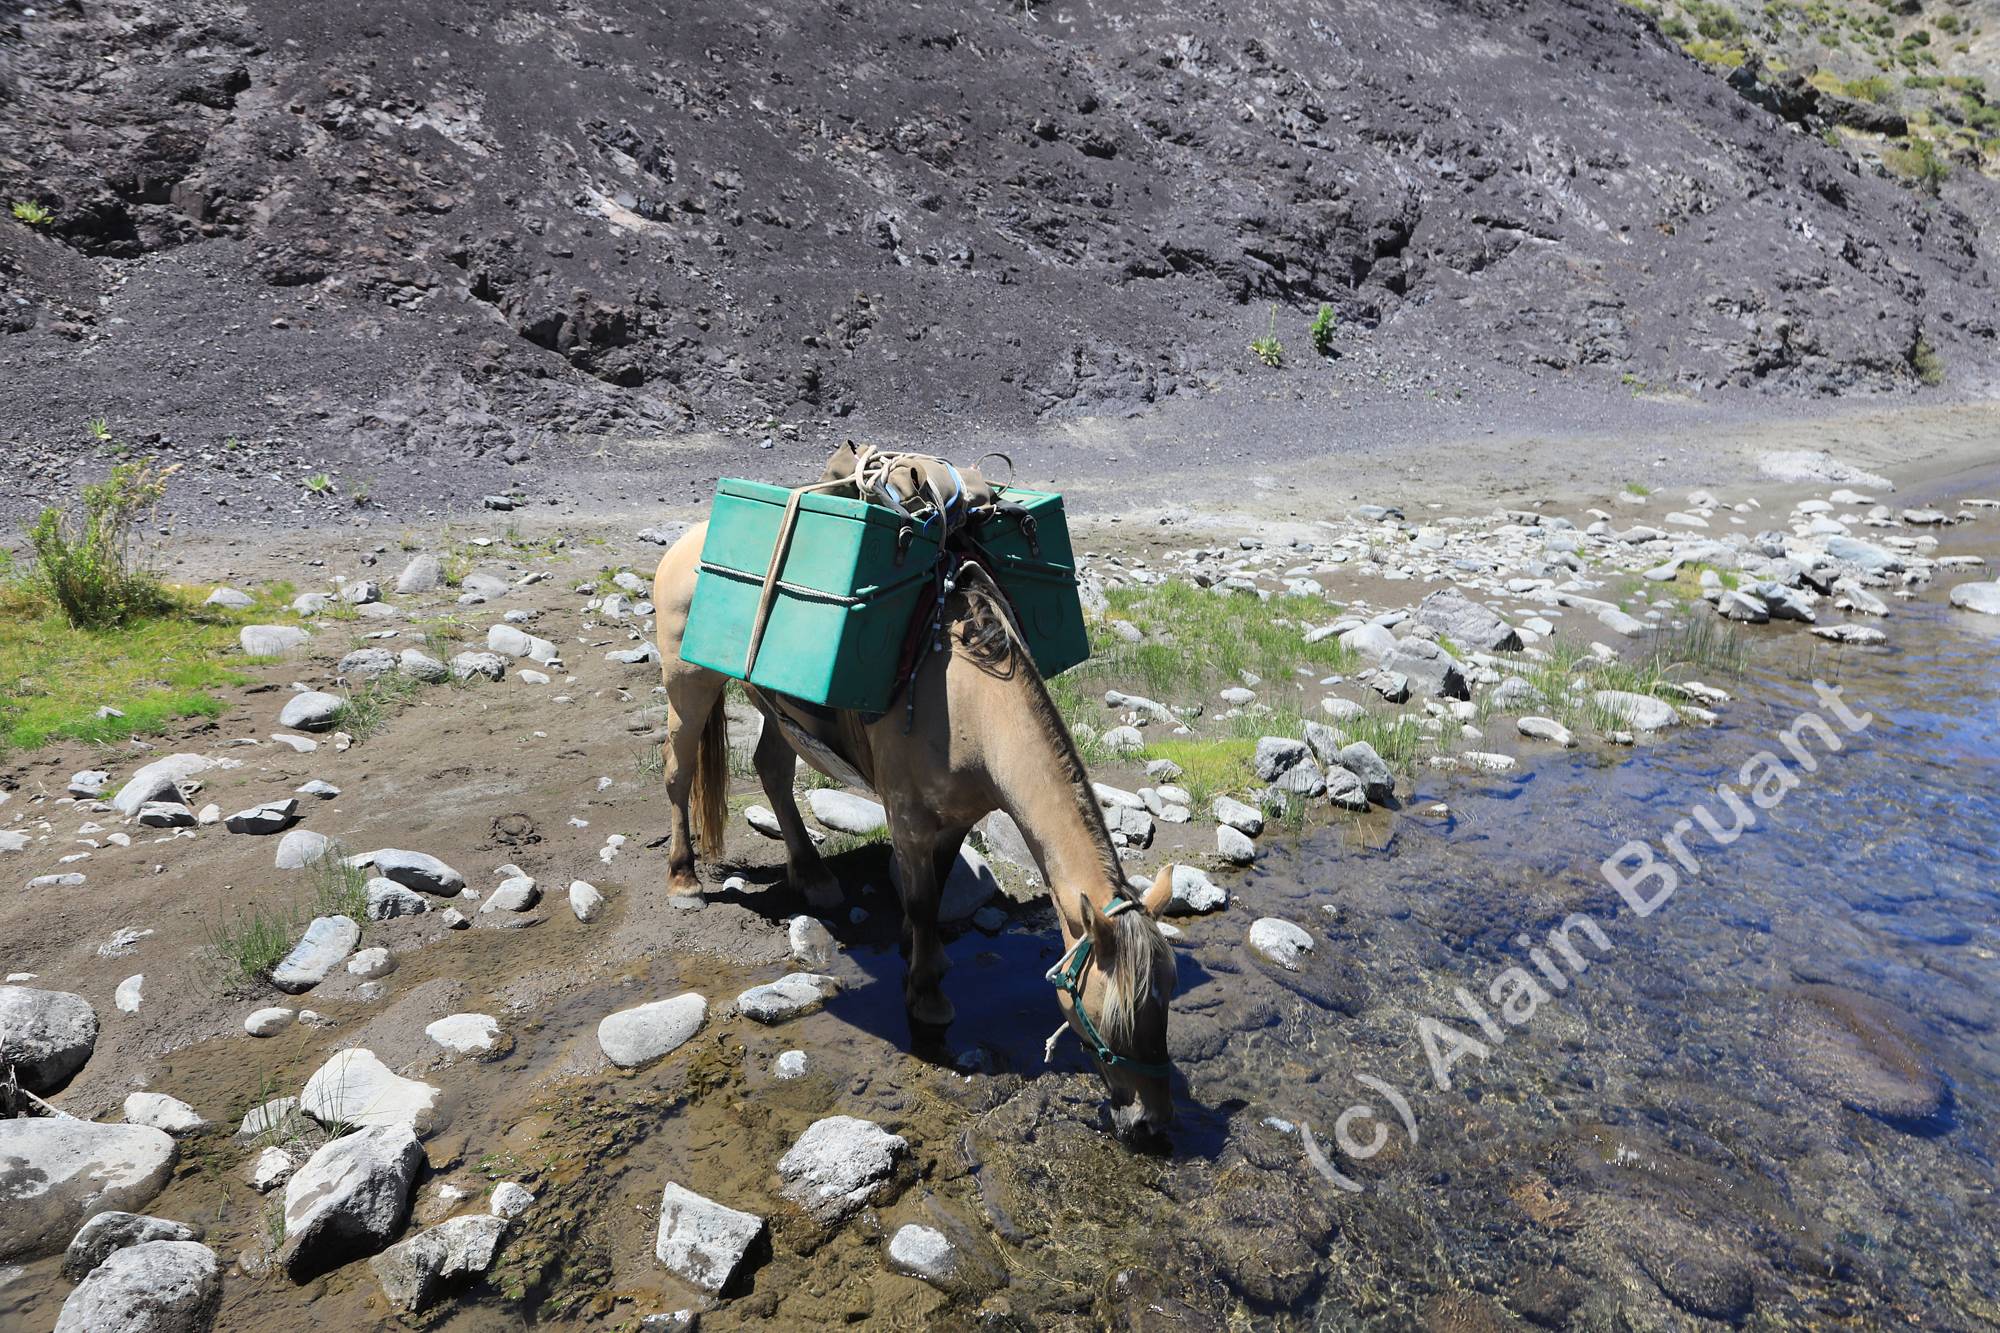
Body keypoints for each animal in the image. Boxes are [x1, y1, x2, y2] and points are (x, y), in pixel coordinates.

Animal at [651, 522, 1177, 1138]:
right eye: (1115, 1010)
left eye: (1168, 997)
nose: (1152, 1121)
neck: (971, 703)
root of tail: (689, 540)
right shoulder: (905, 816)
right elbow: (925, 900)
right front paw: (926, 996)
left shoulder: (956, 818)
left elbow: (936, 888)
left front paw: (922, 953)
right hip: (688, 682)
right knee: (678, 771)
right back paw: (683, 880)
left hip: (777, 708)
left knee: (772, 770)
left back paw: (813, 875)